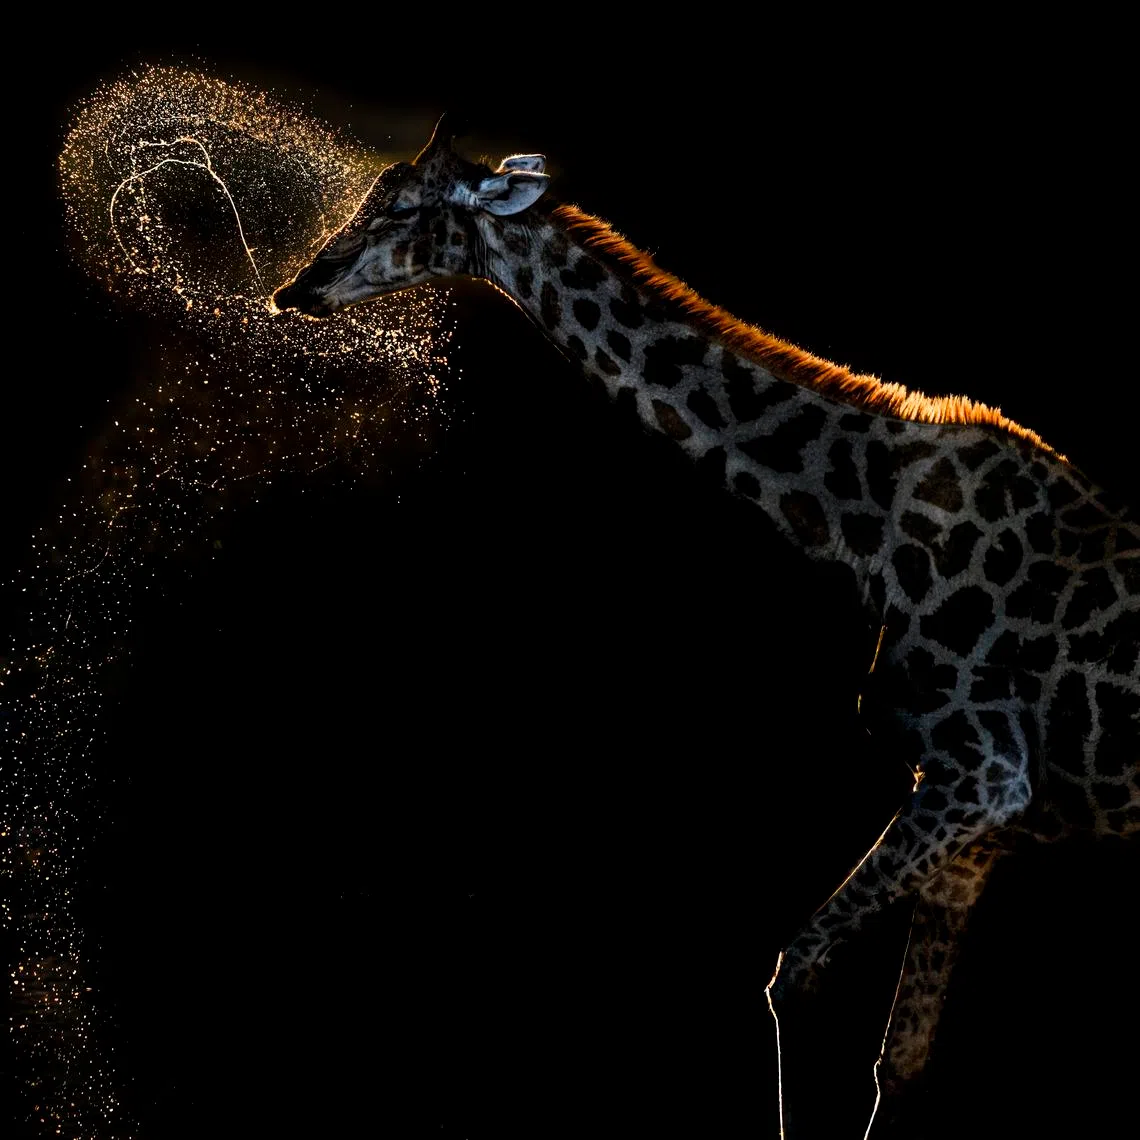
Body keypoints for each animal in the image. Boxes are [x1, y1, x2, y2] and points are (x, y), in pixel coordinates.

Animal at [273, 115, 1140, 1133]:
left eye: (402, 209)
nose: (298, 287)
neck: (864, 529)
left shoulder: (982, 773)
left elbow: (793, 975)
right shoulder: (984, 816)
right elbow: (899, 1059)